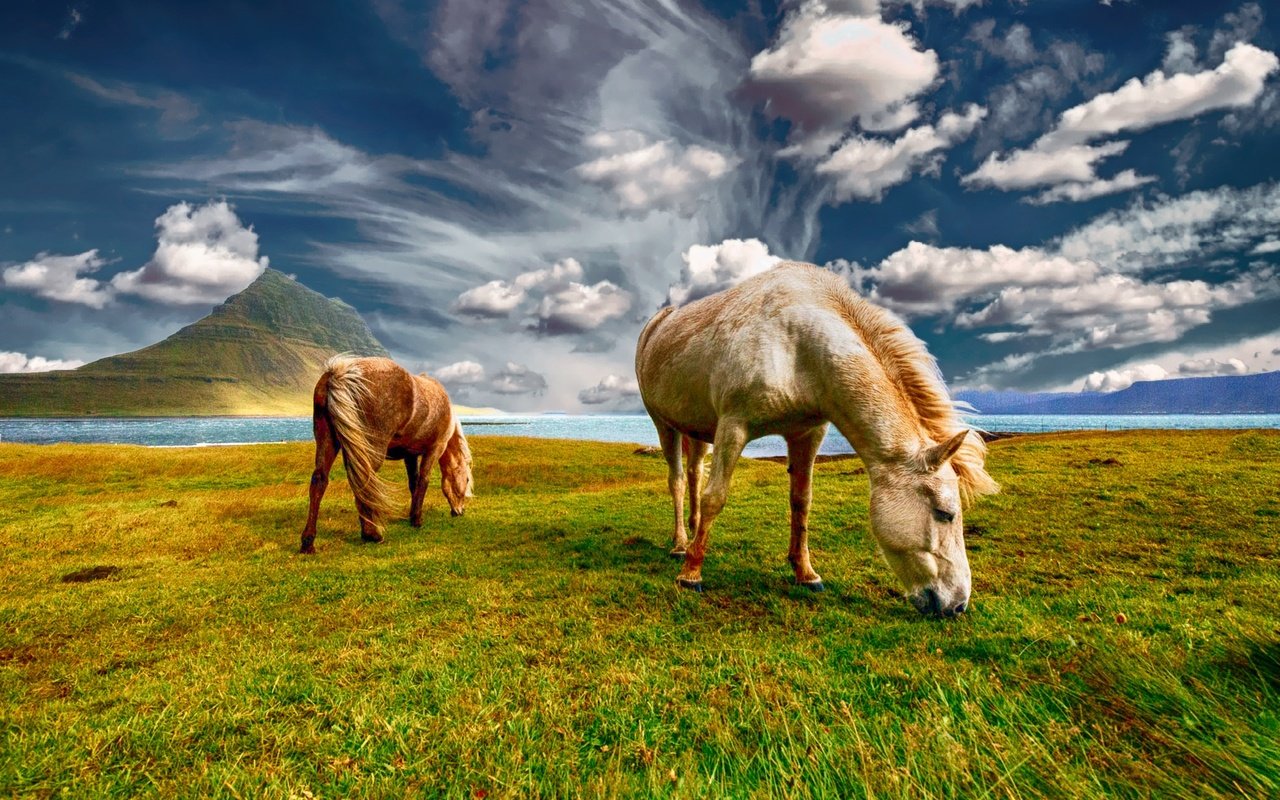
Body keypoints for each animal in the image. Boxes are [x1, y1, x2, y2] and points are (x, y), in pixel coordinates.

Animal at [296, 358, 473, 555]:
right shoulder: (434, 449)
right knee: (364, 481)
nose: (460, 511)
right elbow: (423, 481)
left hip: (328, 440)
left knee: (320, 480)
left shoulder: (410, 455)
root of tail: (340, 373)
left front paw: (411, 516)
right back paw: (371, 534)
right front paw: (417, 520)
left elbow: (413, 483)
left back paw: (308, 542)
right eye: (466, 480)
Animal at [634, 262, 993, 616]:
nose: (957, 604)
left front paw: (805, 573)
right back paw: (682, 545)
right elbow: (715, 497)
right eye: (944, 514)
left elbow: (801, 502)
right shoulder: (733, 427)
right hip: (664, 424)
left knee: (695, 473)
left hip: (698, 430)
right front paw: (691, 574)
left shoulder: (807, 434)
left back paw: (694, 532)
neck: (798, 345)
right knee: (679, 481)